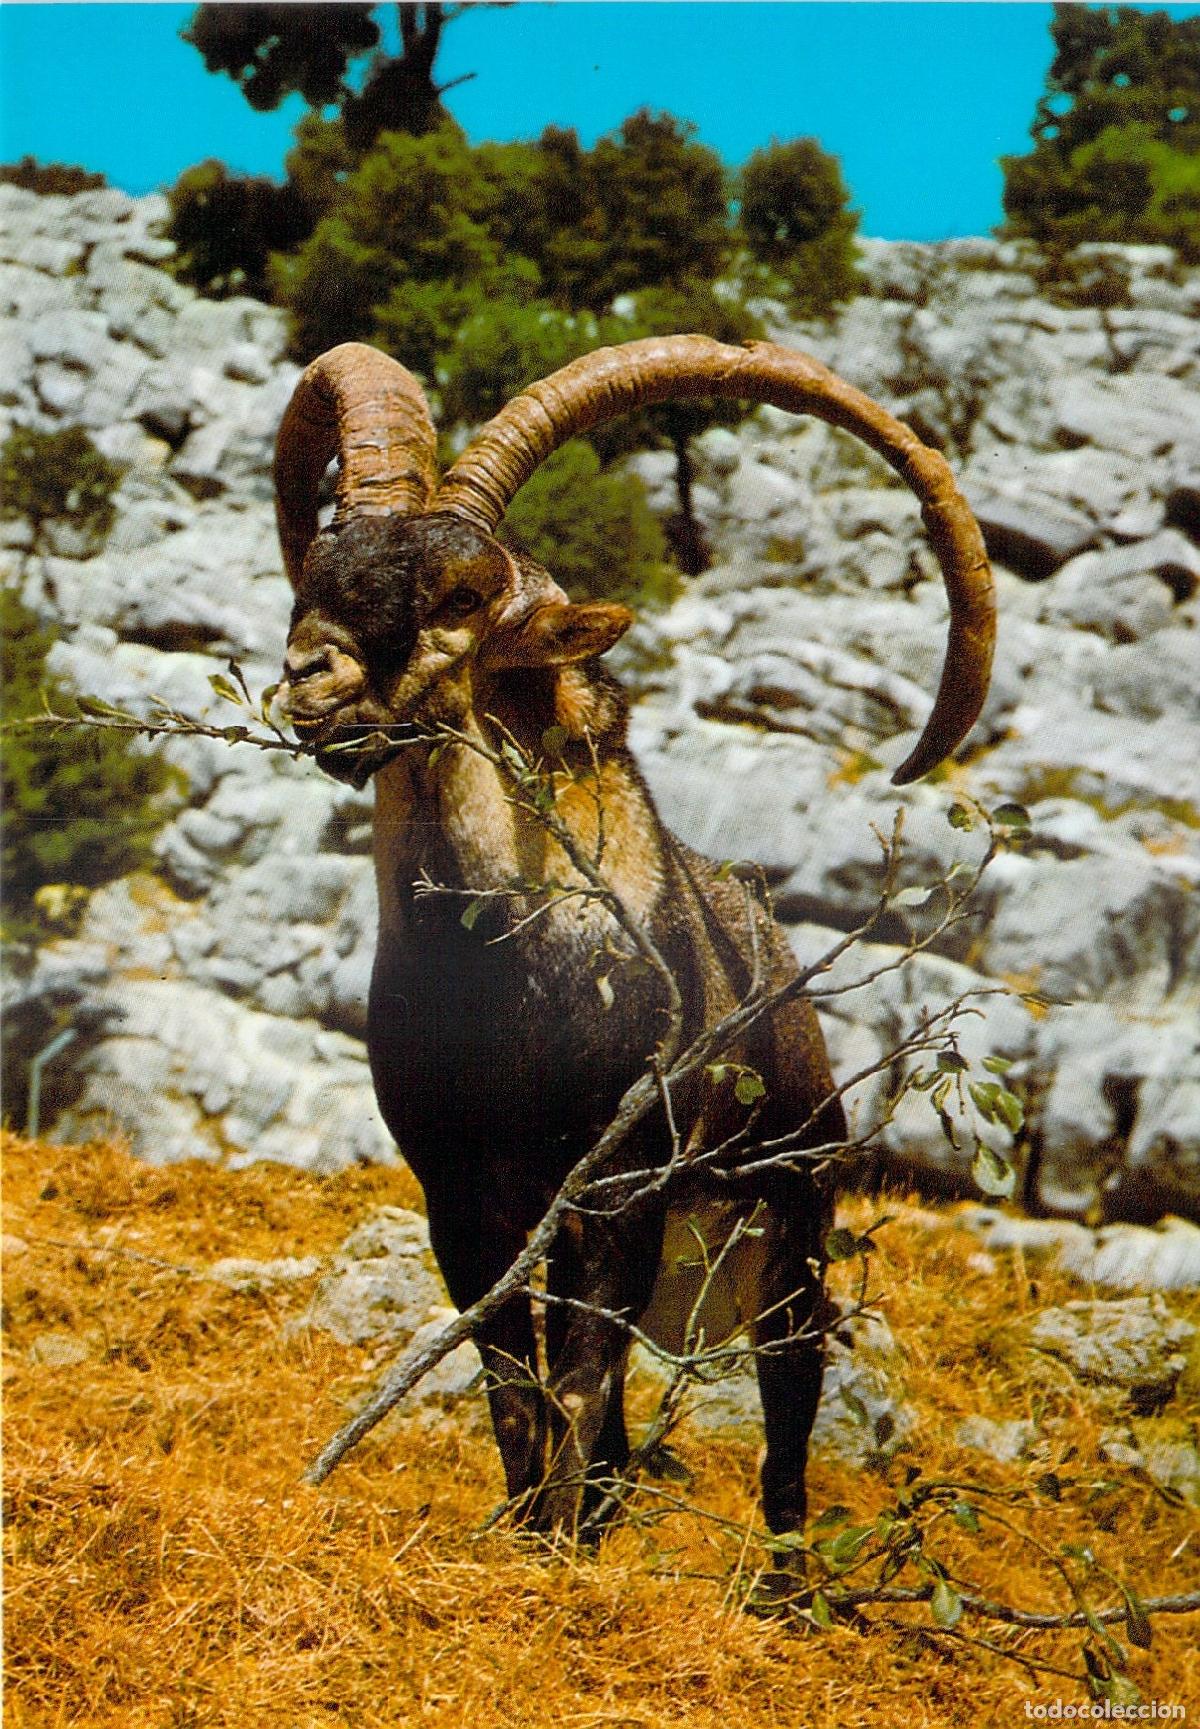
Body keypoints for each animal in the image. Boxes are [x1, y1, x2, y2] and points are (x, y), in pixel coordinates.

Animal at [275, 335, 995, 1539]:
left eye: (462, 594)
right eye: (321, 567)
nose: (308, 682)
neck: (505, 989)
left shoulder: (616, 1189)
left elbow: (574, 1380)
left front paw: (556, 1555)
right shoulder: (463, 1195)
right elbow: (514, 1388)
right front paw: (529, 1538)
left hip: (793, 1251)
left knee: (783, 1456)